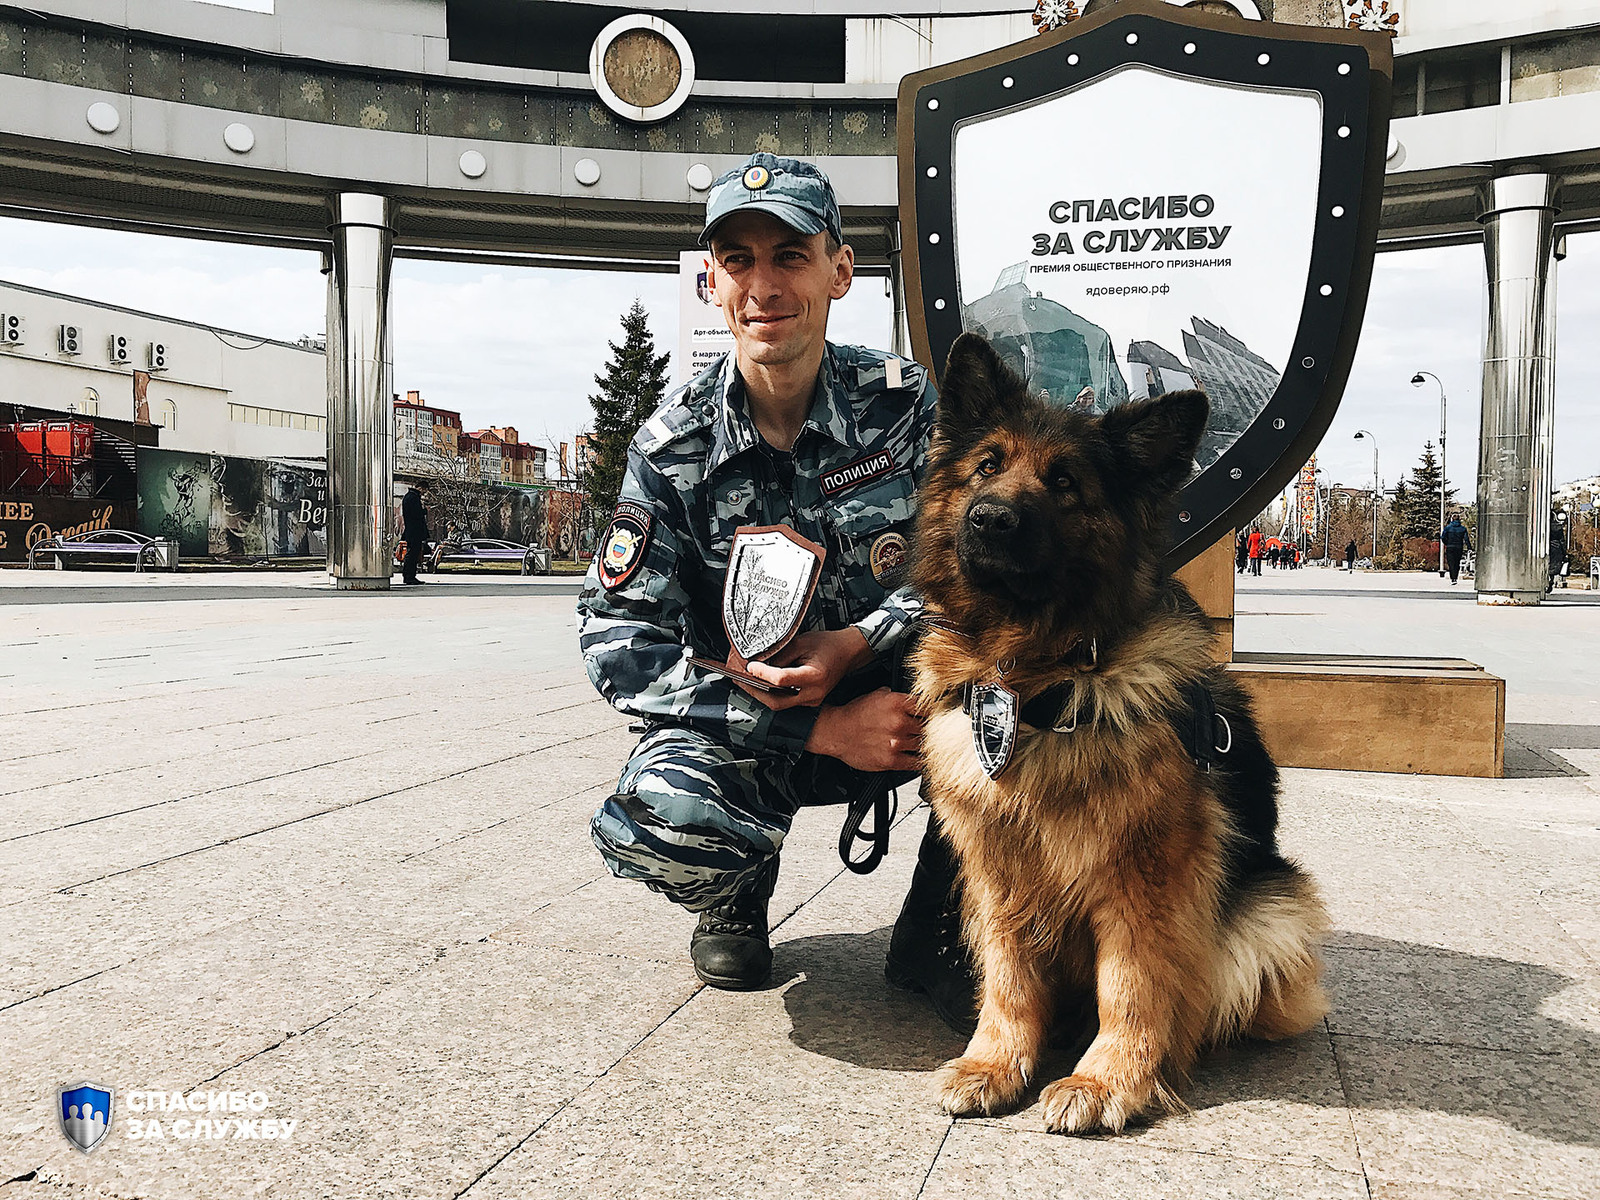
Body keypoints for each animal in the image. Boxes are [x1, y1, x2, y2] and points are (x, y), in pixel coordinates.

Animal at [908, 336, 1331, 1139]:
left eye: (1064, 481)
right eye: (987, 465)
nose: (989, 519)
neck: (1036, 683)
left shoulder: (1147, 877)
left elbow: (1131, 984)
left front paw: (1108, 1081)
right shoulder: (996, 873)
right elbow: (1008, 979)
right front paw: (994, 1063)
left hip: (1271, 915)